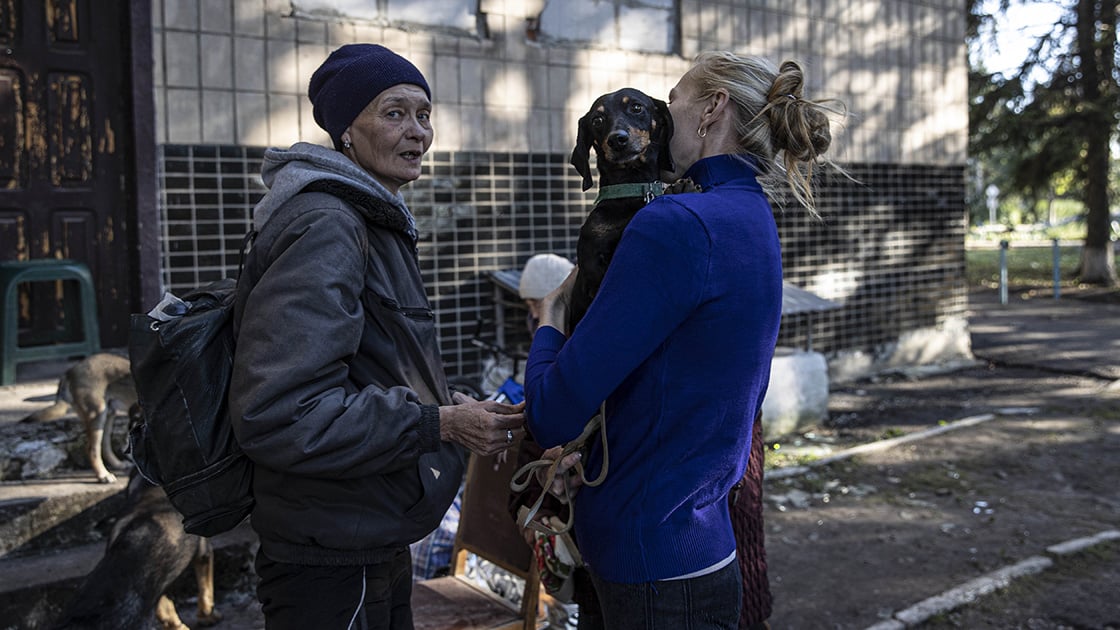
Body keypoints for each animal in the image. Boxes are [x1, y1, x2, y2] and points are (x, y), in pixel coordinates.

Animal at [20, 347, 134, 479]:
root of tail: (71, 370)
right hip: (97, 415)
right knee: (92, 449)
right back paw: (103, 475)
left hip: (108, 416)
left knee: (104, 447)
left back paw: (117, 465)